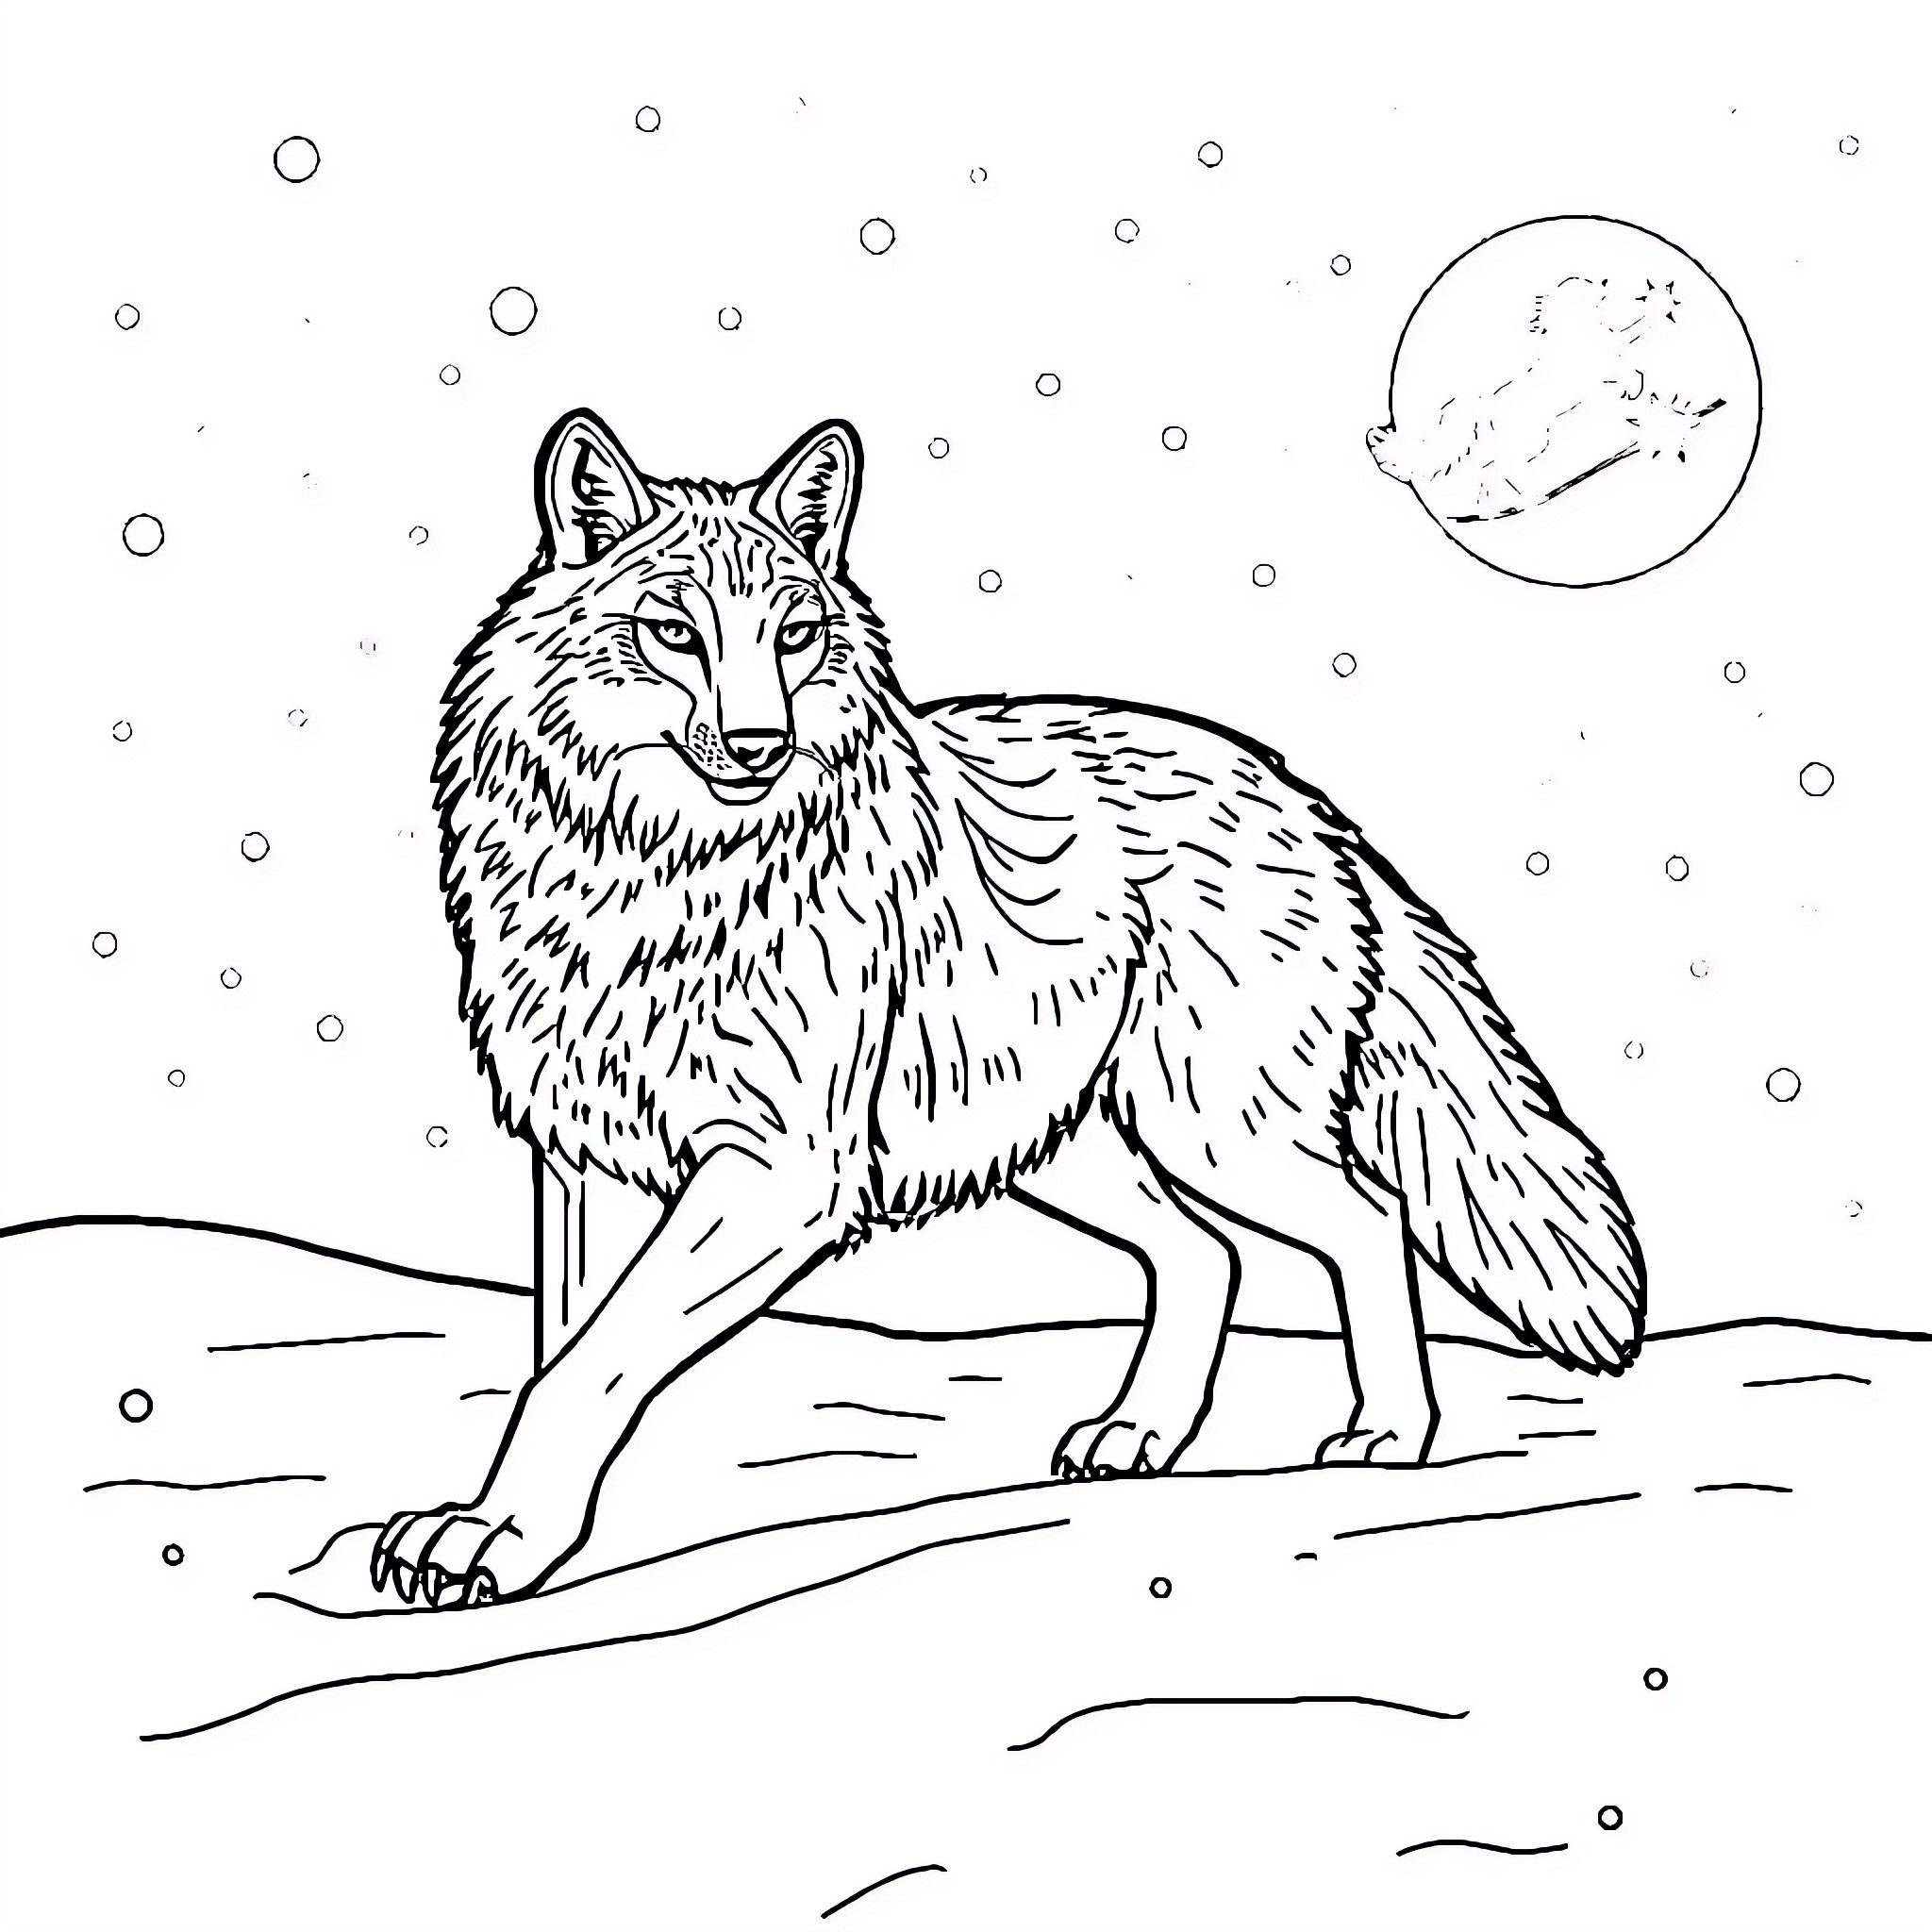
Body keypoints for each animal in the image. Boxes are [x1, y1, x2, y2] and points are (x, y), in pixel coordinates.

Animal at [371, 410, 1644, 1606]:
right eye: (673, 633)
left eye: (795, 636)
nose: (760, 743)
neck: (656, 871)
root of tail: (1303, 796)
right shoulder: (577, 1153)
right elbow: (567, 1352)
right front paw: (519, 1529)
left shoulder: (780, 1171)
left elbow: (586, 1363)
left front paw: (498, 1537)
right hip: (1058, 1143)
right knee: (1206, 1255)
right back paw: (1138, 1433)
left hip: (1214, 1132)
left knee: (1367, 1219)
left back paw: (1386, 1433)